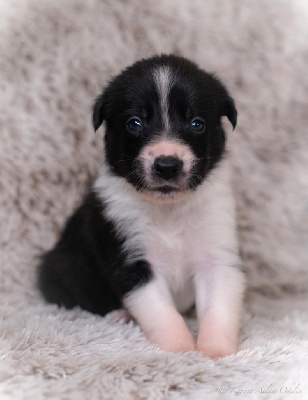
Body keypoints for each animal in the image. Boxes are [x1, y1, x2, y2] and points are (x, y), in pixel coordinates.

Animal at [38, 54, 245, 360]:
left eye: (197, 123)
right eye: (135, 123)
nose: (167, 166)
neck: (169, 209)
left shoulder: (216, 250)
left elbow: (219, 308)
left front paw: (214, 353)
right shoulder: (132, 257)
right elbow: (162, 314)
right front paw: (181, 351)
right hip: (62, 265)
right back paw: (119, 314)